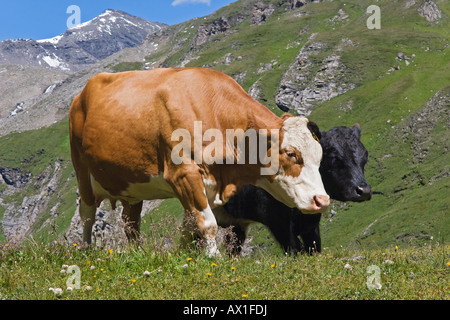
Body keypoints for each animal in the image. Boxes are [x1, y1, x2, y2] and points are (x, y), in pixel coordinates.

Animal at [70, 67, 330, 255]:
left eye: (320, 157)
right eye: (291, 153)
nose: (322, 200)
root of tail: (82, 94)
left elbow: (191, 226)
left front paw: (182, 256)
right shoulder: (183, 175)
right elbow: (207, 224)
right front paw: (214, 259)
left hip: (132, 187)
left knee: (130, 223)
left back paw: (137, 252)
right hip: (82, 170)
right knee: (87, 214)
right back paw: (86, 251)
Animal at [216, 124, 370, 255]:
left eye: (365, 156)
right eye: (335, 158)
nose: (364, 190)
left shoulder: (310, 223)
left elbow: (313, 249)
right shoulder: (277, 221)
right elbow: (296, 250)